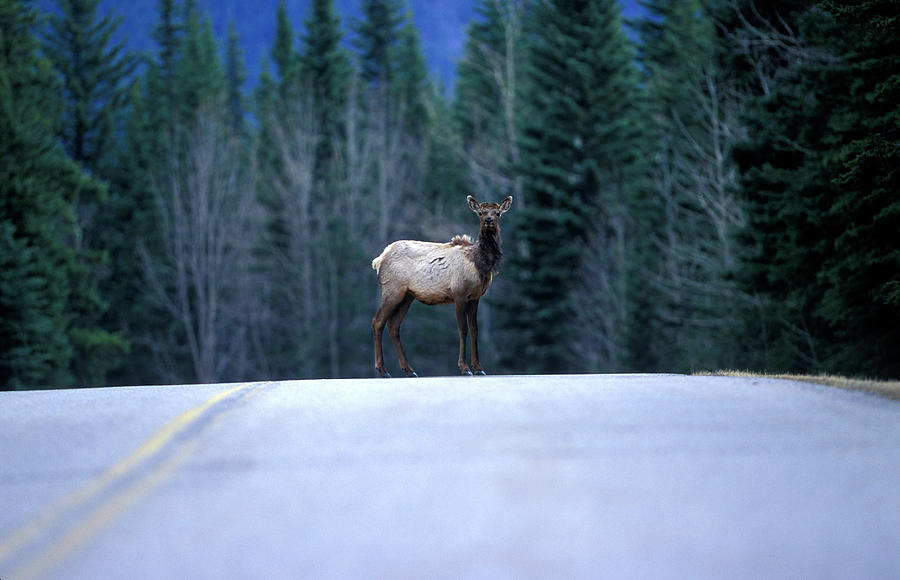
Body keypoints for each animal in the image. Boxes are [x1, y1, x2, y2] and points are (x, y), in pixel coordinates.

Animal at [372, 196, 512, 376]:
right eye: (480, 212)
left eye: (498, 213)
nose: (488, 220)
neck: (480, 264)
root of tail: (378, 260)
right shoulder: (459, 294)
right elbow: (463, 329)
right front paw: (464, 368)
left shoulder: (475, 297)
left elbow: (474, 329)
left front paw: (479, 368)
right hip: (392, 289)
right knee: (378, 321)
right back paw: (383, 370)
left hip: (407, 296)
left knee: (393, 325)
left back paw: (409, 370)